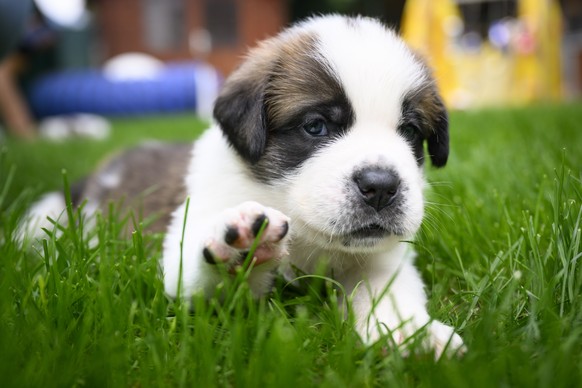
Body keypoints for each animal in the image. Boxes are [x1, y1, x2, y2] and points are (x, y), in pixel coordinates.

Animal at [22, 15, 468, 358]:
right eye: (315, 126)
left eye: (409, 132)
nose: (381, 187)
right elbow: (196, 274)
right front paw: (239, 252)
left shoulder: (382, 259)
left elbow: (384, 288)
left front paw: (411, 332)